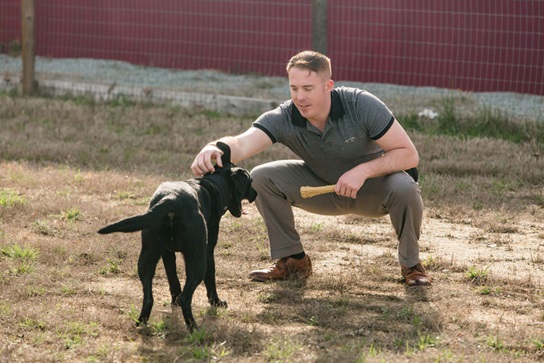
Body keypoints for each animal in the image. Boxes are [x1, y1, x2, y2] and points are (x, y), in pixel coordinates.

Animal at [98, 143, 258, 332]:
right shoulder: (208, 252)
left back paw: (141, 322)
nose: (256, 194)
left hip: (148, 256)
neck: (213, 185)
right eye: (250, 182)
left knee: (148, 296)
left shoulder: (167, 253)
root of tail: (171, 199)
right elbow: (210, 280)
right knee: (185, 297)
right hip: (197, 260)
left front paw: (173, 301)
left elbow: (173, 279)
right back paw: (193, 328)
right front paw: (217, 302)